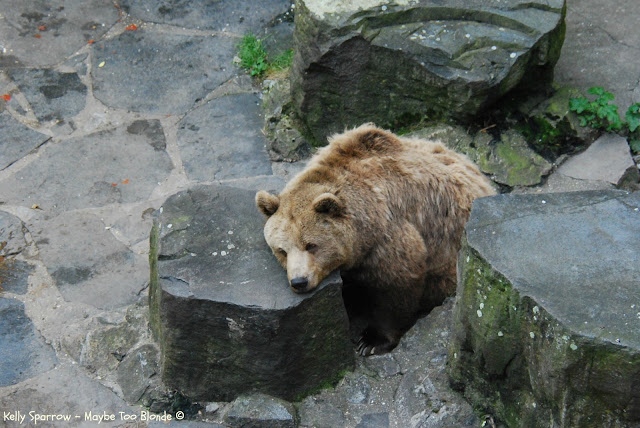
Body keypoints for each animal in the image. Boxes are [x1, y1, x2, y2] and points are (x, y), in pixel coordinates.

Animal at [255, 123, 496, 354]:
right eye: (282, 250)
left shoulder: (388, 235)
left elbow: (395, 285)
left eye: (311, 245)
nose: (299, 282)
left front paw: (370, 340)